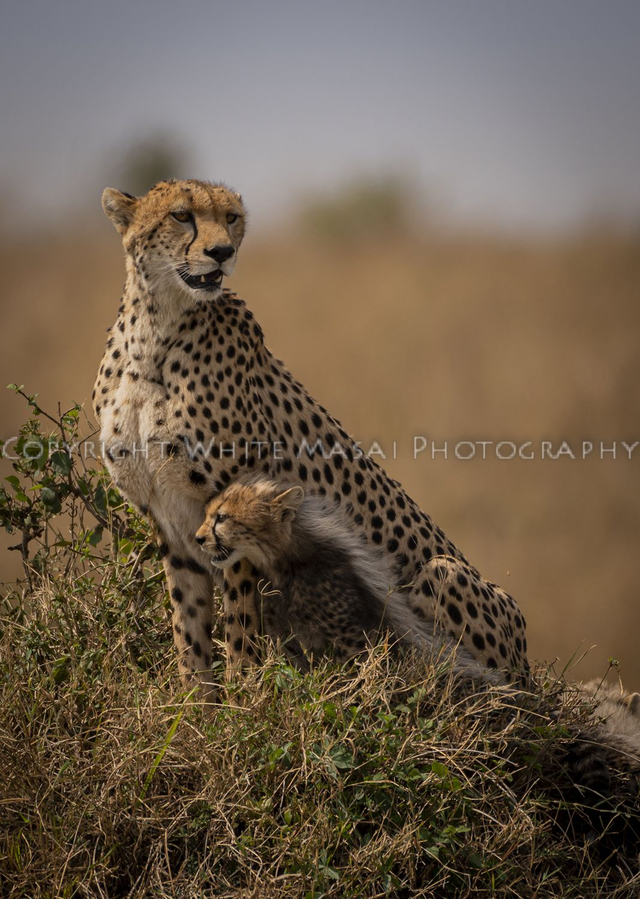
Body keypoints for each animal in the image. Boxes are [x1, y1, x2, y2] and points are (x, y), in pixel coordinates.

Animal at [195, 477, 497, 680]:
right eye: (208, 514)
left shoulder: (354, 638)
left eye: (222, 518)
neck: (288, 561)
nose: (198, 538)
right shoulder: (285, 634)